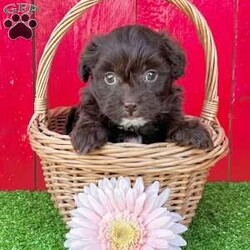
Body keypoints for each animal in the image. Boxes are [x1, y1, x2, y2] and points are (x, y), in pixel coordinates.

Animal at [66, 25, 213, 154]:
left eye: (151, 75)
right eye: (110, 78)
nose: (130, 105)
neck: (133, 128)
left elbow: (174, 121)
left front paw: (190, 130)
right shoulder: (91, 101)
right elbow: (91, 115)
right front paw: (87, 133)